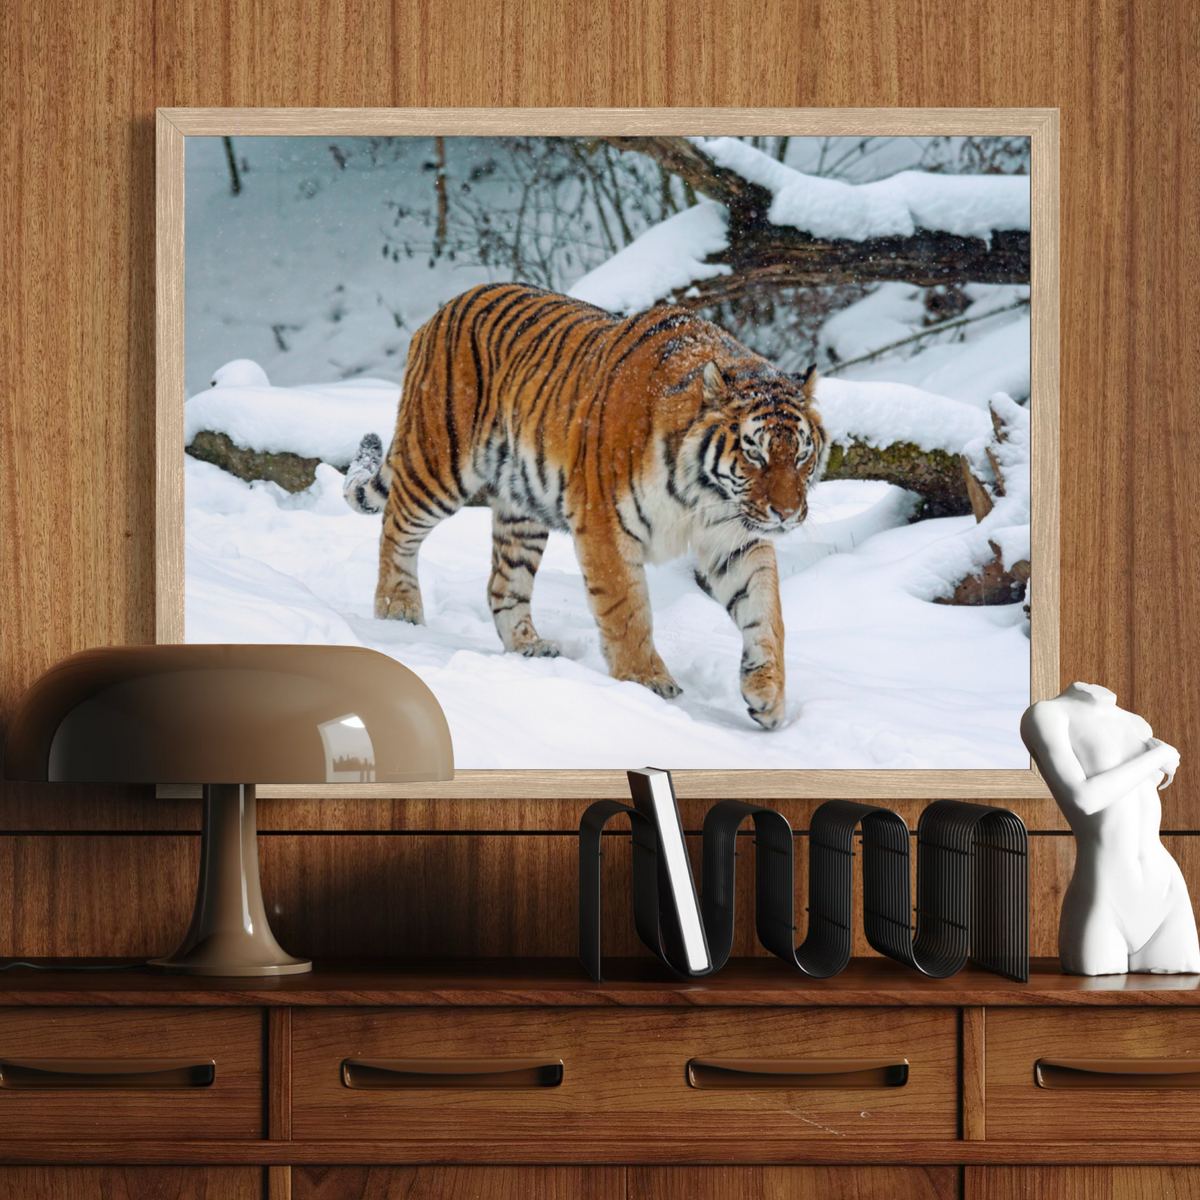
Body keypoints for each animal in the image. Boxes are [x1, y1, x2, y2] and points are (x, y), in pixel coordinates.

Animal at [343, 282, 827, 730]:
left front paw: (768, 694)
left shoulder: (736, 537)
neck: (704, 495)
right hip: (439, 461)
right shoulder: (605, 525)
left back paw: (529, 647)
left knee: (503, 583)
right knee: (396, 527)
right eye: (755, 454)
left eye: (801, 455)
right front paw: (646, 681)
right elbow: (627, 610)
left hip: (522, 509)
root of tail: (444, 309)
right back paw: (397, 611)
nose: (787, 514)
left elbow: (766, 611)